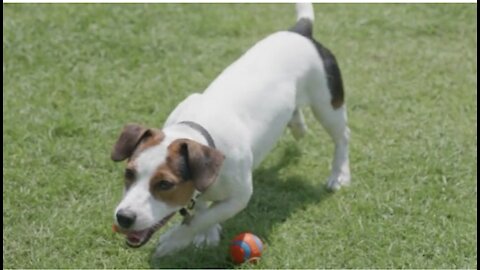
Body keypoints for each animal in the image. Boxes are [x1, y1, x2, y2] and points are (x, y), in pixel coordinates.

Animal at [111, 3, 352, 258]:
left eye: (165, 184)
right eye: (129, 173)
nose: (123, 217)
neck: (201, 132)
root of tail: (300, 32)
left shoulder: (240, 197)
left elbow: (203, 217)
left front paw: (175, 240)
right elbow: (203, 209)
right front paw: (206, 234)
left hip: (327, 104)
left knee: (342, 136)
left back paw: (339, 174)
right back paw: (297, 126)